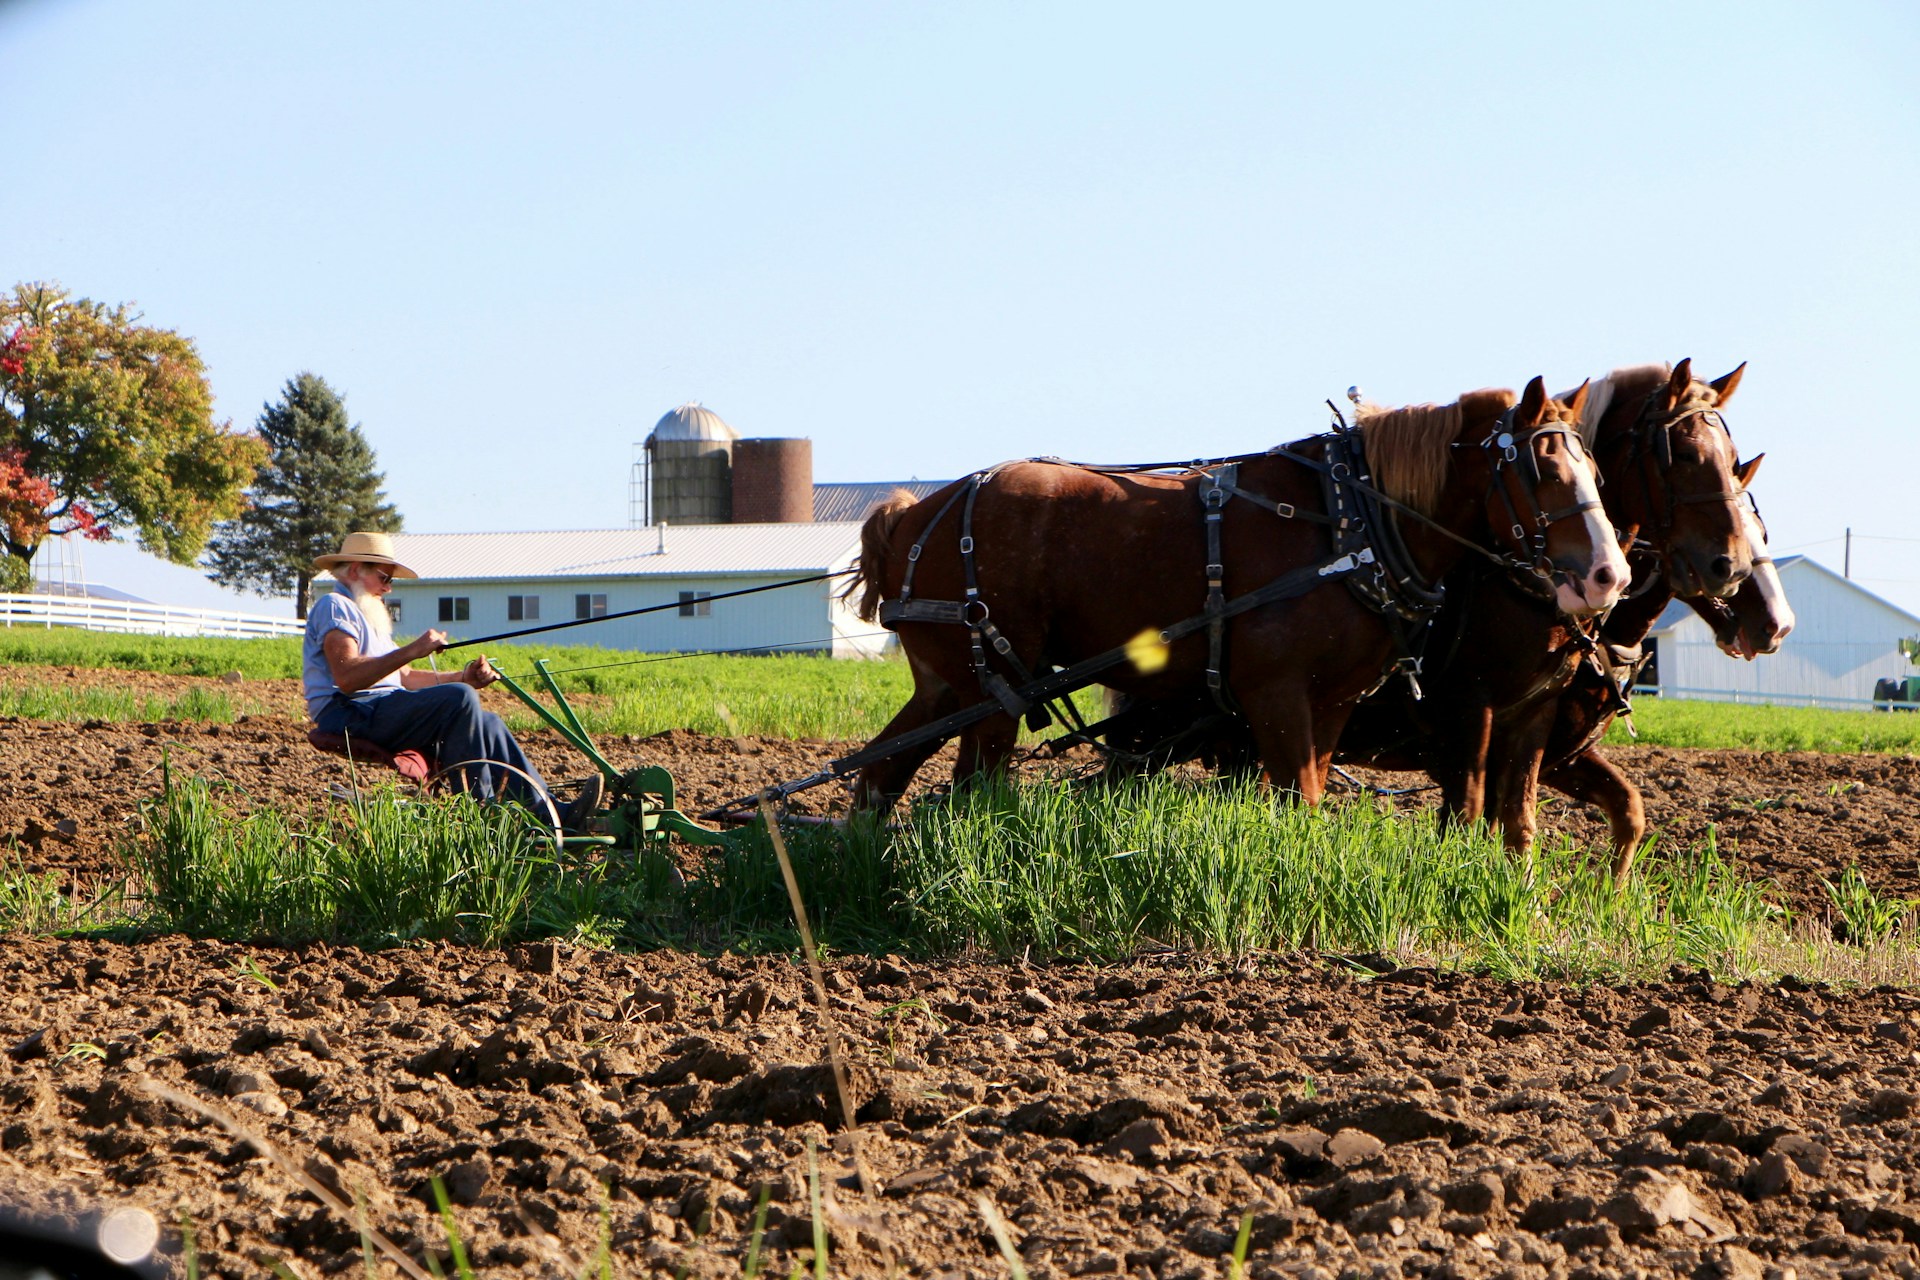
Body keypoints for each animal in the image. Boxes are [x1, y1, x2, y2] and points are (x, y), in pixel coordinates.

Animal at [848, 376, 1628, 809]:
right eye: (1541, 468)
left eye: (1593, 467)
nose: (1609, 576)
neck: (1347, 519)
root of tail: (912, 515)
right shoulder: (1275, 693)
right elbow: (1298, 799)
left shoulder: (1332, 701)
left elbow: (1305, 795)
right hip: (991, 689)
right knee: (966, 787)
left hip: (946, 685)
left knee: (884, 767)